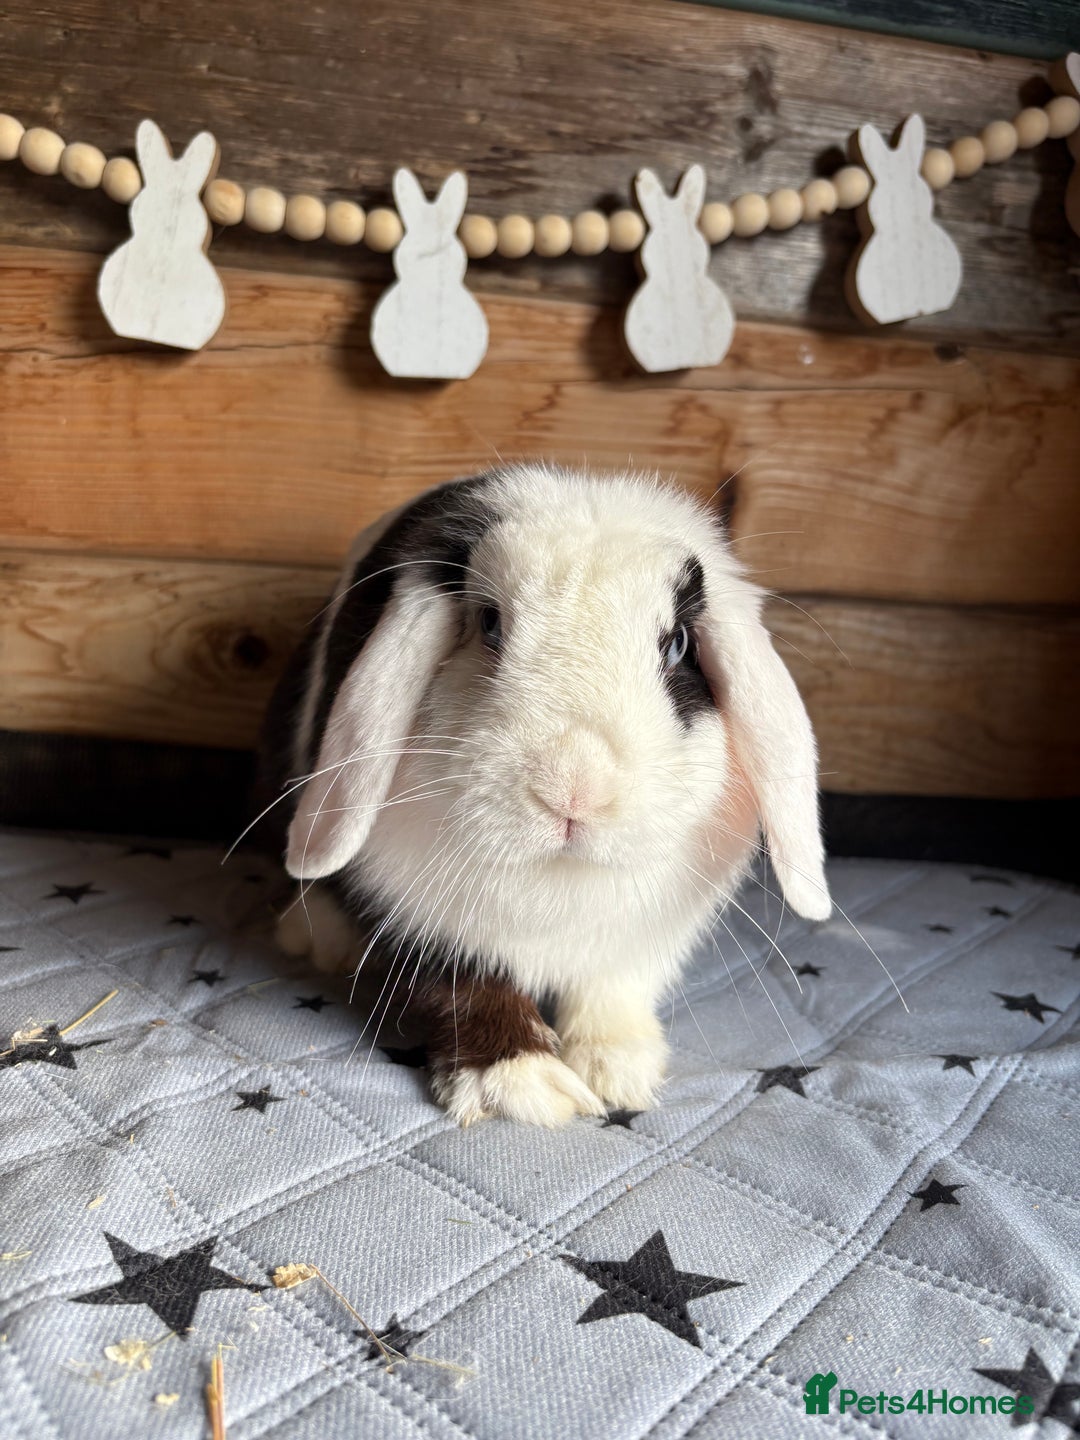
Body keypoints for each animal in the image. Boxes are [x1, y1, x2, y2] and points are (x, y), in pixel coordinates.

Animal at [257, 464, 830, 1127]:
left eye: (679, 646)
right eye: (489, 623)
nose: (573, 791)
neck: (559, 880)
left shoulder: (641, 939)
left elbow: (613, 988)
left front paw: (618, 1069)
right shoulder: (426, 917)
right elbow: (467, 985)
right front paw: (522, 1085)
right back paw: (320, 941)